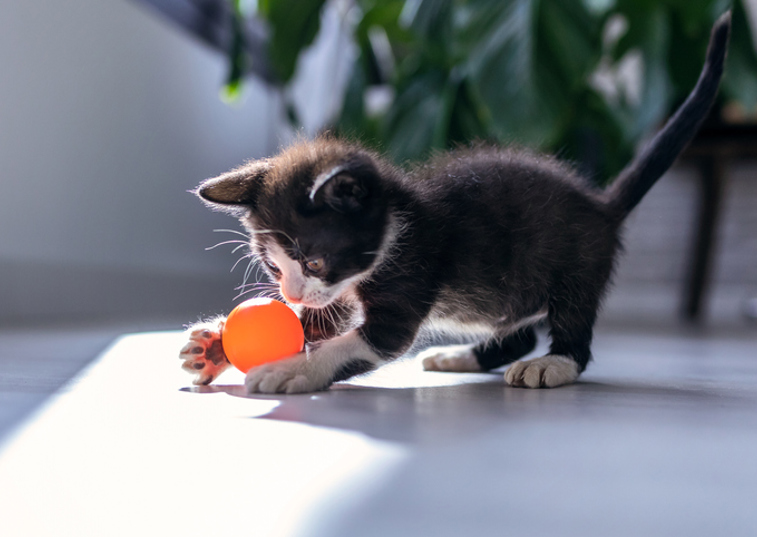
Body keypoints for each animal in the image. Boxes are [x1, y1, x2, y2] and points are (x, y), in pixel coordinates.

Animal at [180, 13, 728, 394]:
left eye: (313, 260)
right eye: (274, 269)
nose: (288, 294)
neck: (397, 224)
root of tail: (601, 204)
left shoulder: (409, 272)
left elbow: (361, 341)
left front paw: (295, 369)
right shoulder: (338, 291)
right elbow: (320, 320)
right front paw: (214, 348)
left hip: (578, 261)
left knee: (573, 323)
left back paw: (553, 363)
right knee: (518, 329)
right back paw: (462, 356)